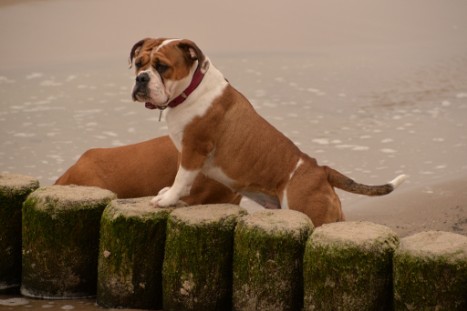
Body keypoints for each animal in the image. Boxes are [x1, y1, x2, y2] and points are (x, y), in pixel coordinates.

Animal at [128, 38, 406, 227]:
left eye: (162, 66)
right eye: (139, 64)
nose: (141, 78)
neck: (190, 90)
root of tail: (321, 170)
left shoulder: (194, 149)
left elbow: (182, 177)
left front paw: (167, 199)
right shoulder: (190, 155)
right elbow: (186, 179)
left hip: (309, 212)